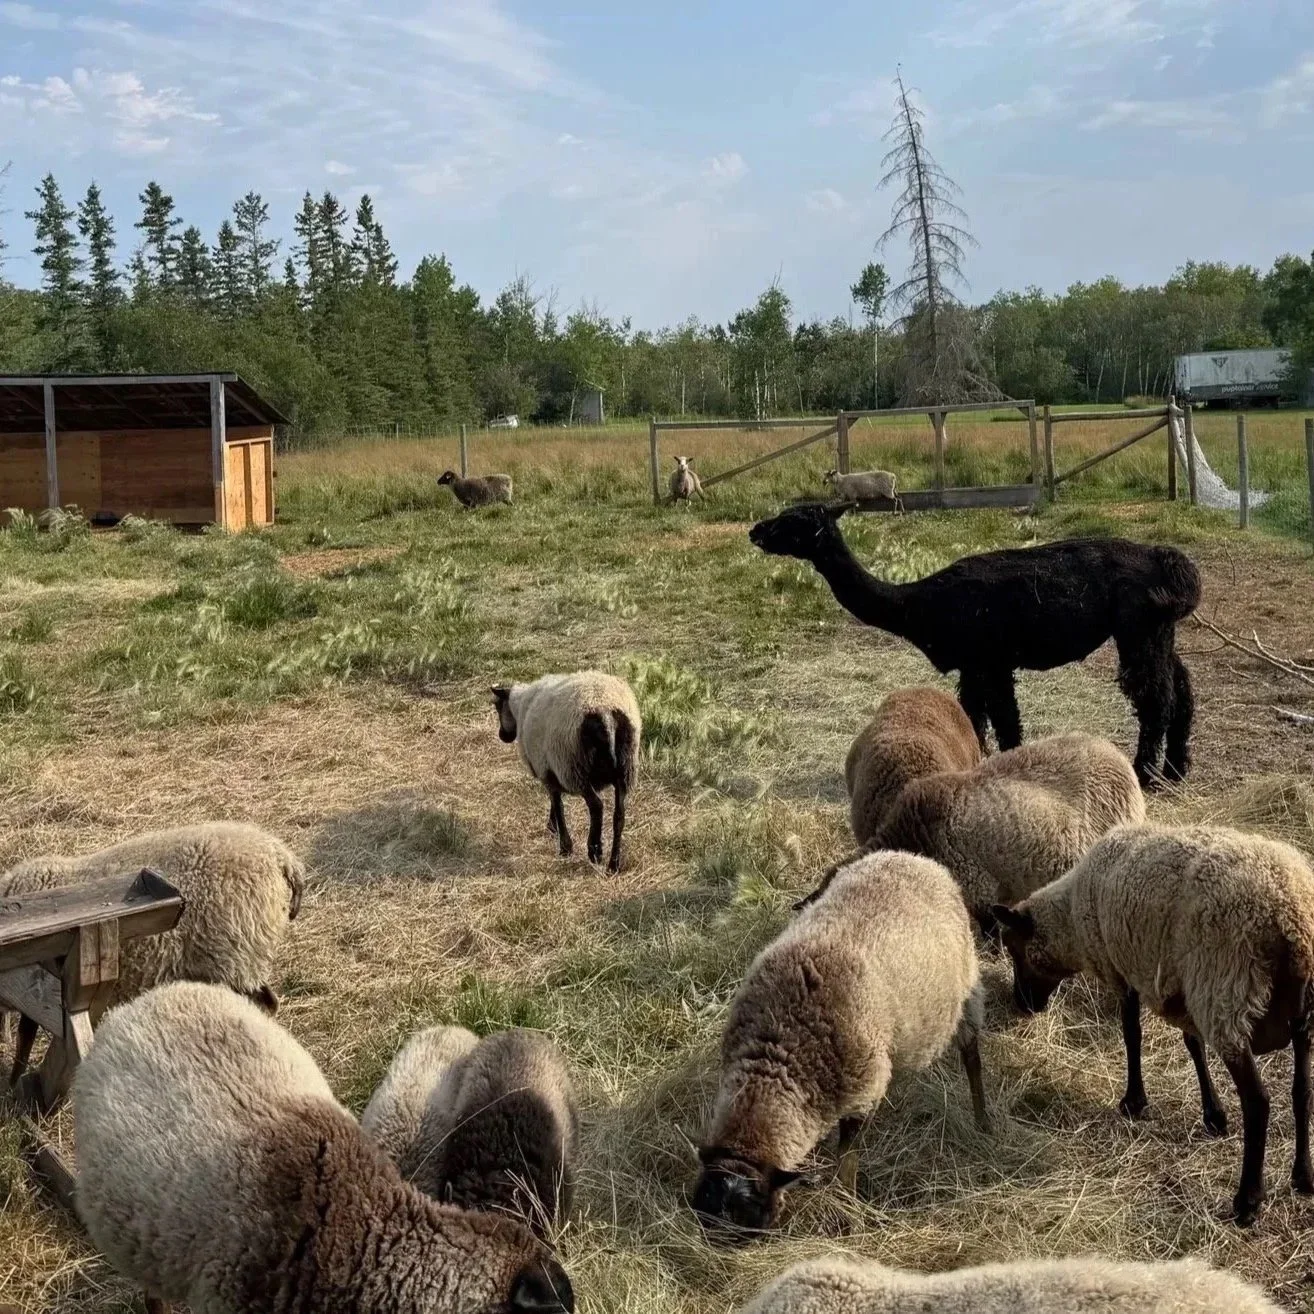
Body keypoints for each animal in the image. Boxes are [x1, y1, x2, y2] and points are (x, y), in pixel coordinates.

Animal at [3, 822, 303, 1090]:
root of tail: (280, 856)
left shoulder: (37, 982)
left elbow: (25, 1036)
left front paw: (13, 1083)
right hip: (242, 959)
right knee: (268, 1002)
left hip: (232, 956)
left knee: (261, 1003)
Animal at [492, 670, 641, 874]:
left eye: (497, 706)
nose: (502, 736)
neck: (521, 706)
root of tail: (605, 712)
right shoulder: (552, 769)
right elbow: (555, 803)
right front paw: (552, 827)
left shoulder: (547, 769)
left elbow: (557, 805)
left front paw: (564, 846)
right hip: (624, 771)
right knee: (619, 816)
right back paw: (613, 865)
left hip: (575, 768)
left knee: (596, 806)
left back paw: (595, 851)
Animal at [691, 850, 987, 1245]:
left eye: (750, 1219)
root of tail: (914, 858)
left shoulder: (861, 1095)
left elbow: (847, 1160)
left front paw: (847, 1211)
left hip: (967, 989)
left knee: (972, 1056)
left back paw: (983, 1120)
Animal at [994, 823, 1314, 1227]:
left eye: (1014, 949)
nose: (1023, 1006)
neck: (1072, 919)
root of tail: (1293, 917)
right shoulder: (1181, 988)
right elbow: (1192, 1045)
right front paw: (1213, 1114)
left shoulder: (1121, 970)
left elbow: (1131, 1034)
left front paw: (1134, 1102)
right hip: (1300, 1012)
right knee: (1303, 1090)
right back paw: (1304, 1177)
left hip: (1225, 991)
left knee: (1258, 1100)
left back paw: (1248, 1201)